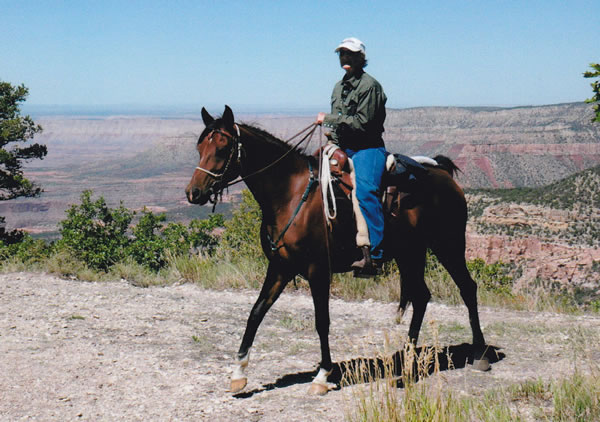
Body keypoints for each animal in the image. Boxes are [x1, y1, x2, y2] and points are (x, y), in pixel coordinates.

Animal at [184, 105, 488, 396]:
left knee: (467, 288)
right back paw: (407, 360)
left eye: (222, 148)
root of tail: (443, 173)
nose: (193, 193)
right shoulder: (280, 267)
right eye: (199, 148)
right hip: (410, 253)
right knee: (422, 296)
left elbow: (322, 321)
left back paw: (480, 354)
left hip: (448, 245)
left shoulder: (318, 270)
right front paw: (239, 373)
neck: (290, 194)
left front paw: (322, 375)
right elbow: (256, 312)